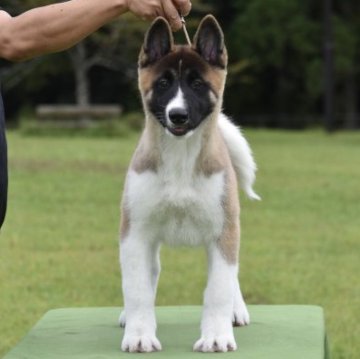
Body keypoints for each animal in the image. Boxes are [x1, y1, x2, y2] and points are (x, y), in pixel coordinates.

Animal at [119, 14, 260, 354]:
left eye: (197, 84)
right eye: (163, 83)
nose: (178, 115)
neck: (180, 159)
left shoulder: (223, 231)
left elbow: (219, 288)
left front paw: (217, 337)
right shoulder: (136, 233)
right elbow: (137, 288)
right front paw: (139, 335)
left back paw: (237, 310)